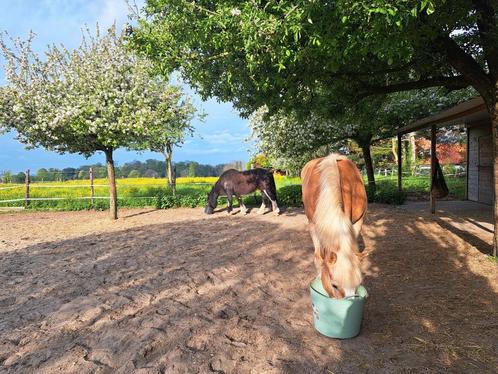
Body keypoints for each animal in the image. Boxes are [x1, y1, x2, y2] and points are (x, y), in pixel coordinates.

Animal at [300, 152, 366, 298]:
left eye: (357, 285)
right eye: (334, 285)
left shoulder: (357, 223)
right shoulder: (314, 226)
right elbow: (319, 257)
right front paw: (319, 275)